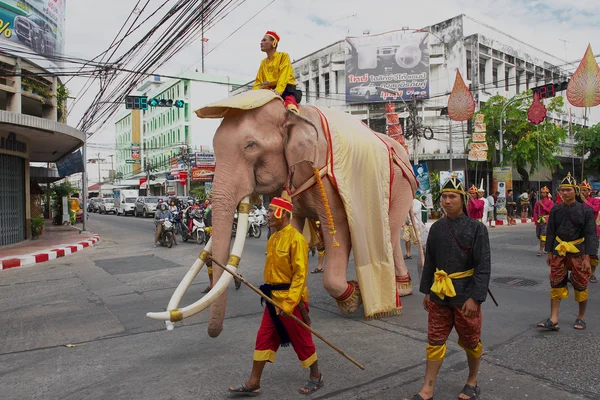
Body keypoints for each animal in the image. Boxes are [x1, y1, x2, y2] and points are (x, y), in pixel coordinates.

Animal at [148, 90, 418, 338]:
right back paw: (401, 289)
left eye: (251, 145)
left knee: (390, 231)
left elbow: (338, 229)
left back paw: (397, 293)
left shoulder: (325, 179)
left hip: (402, 187)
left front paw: (353, 299)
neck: (292, 113)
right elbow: (292, 229)